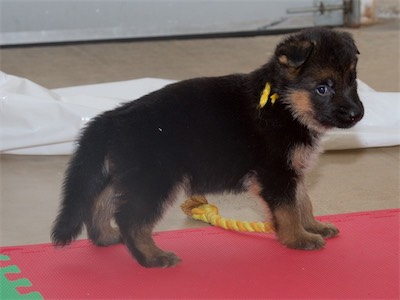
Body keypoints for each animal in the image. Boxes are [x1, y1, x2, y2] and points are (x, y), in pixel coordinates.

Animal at [51, 28, 364, 268]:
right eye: (323, 88)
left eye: (352, 80)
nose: (357, 114)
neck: (283, 102)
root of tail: (111, 119)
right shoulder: (276, 173)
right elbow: (288, 209)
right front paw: (298, 239)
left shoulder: (291, 171)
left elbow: (302, 201)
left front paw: (312, 226)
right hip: (155, 181)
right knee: (131, 218)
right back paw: (152, 257)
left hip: (126, 176)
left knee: (100, 203)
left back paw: (106, 237)